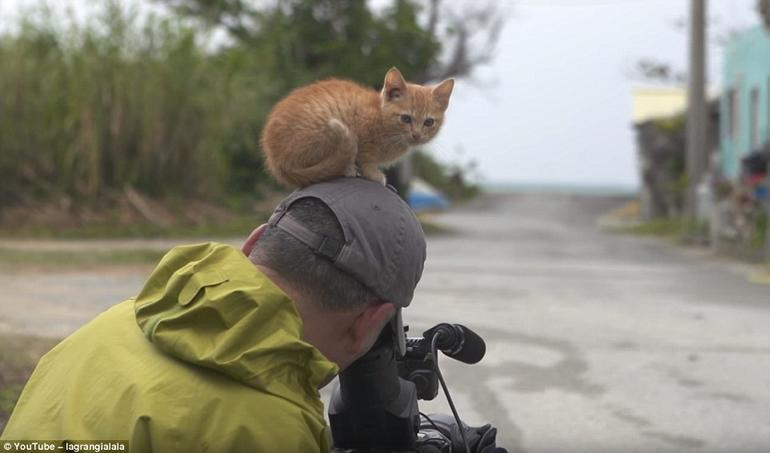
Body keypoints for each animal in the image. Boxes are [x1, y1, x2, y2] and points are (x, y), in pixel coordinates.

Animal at [260, 66, 450, 186]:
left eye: (429, 122)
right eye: (405, 118)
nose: (416, 135)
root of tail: (278, 163)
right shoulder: (361, 130)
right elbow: (366, 157)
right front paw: (374, 174)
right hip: (324, 129)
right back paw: (347, 167)